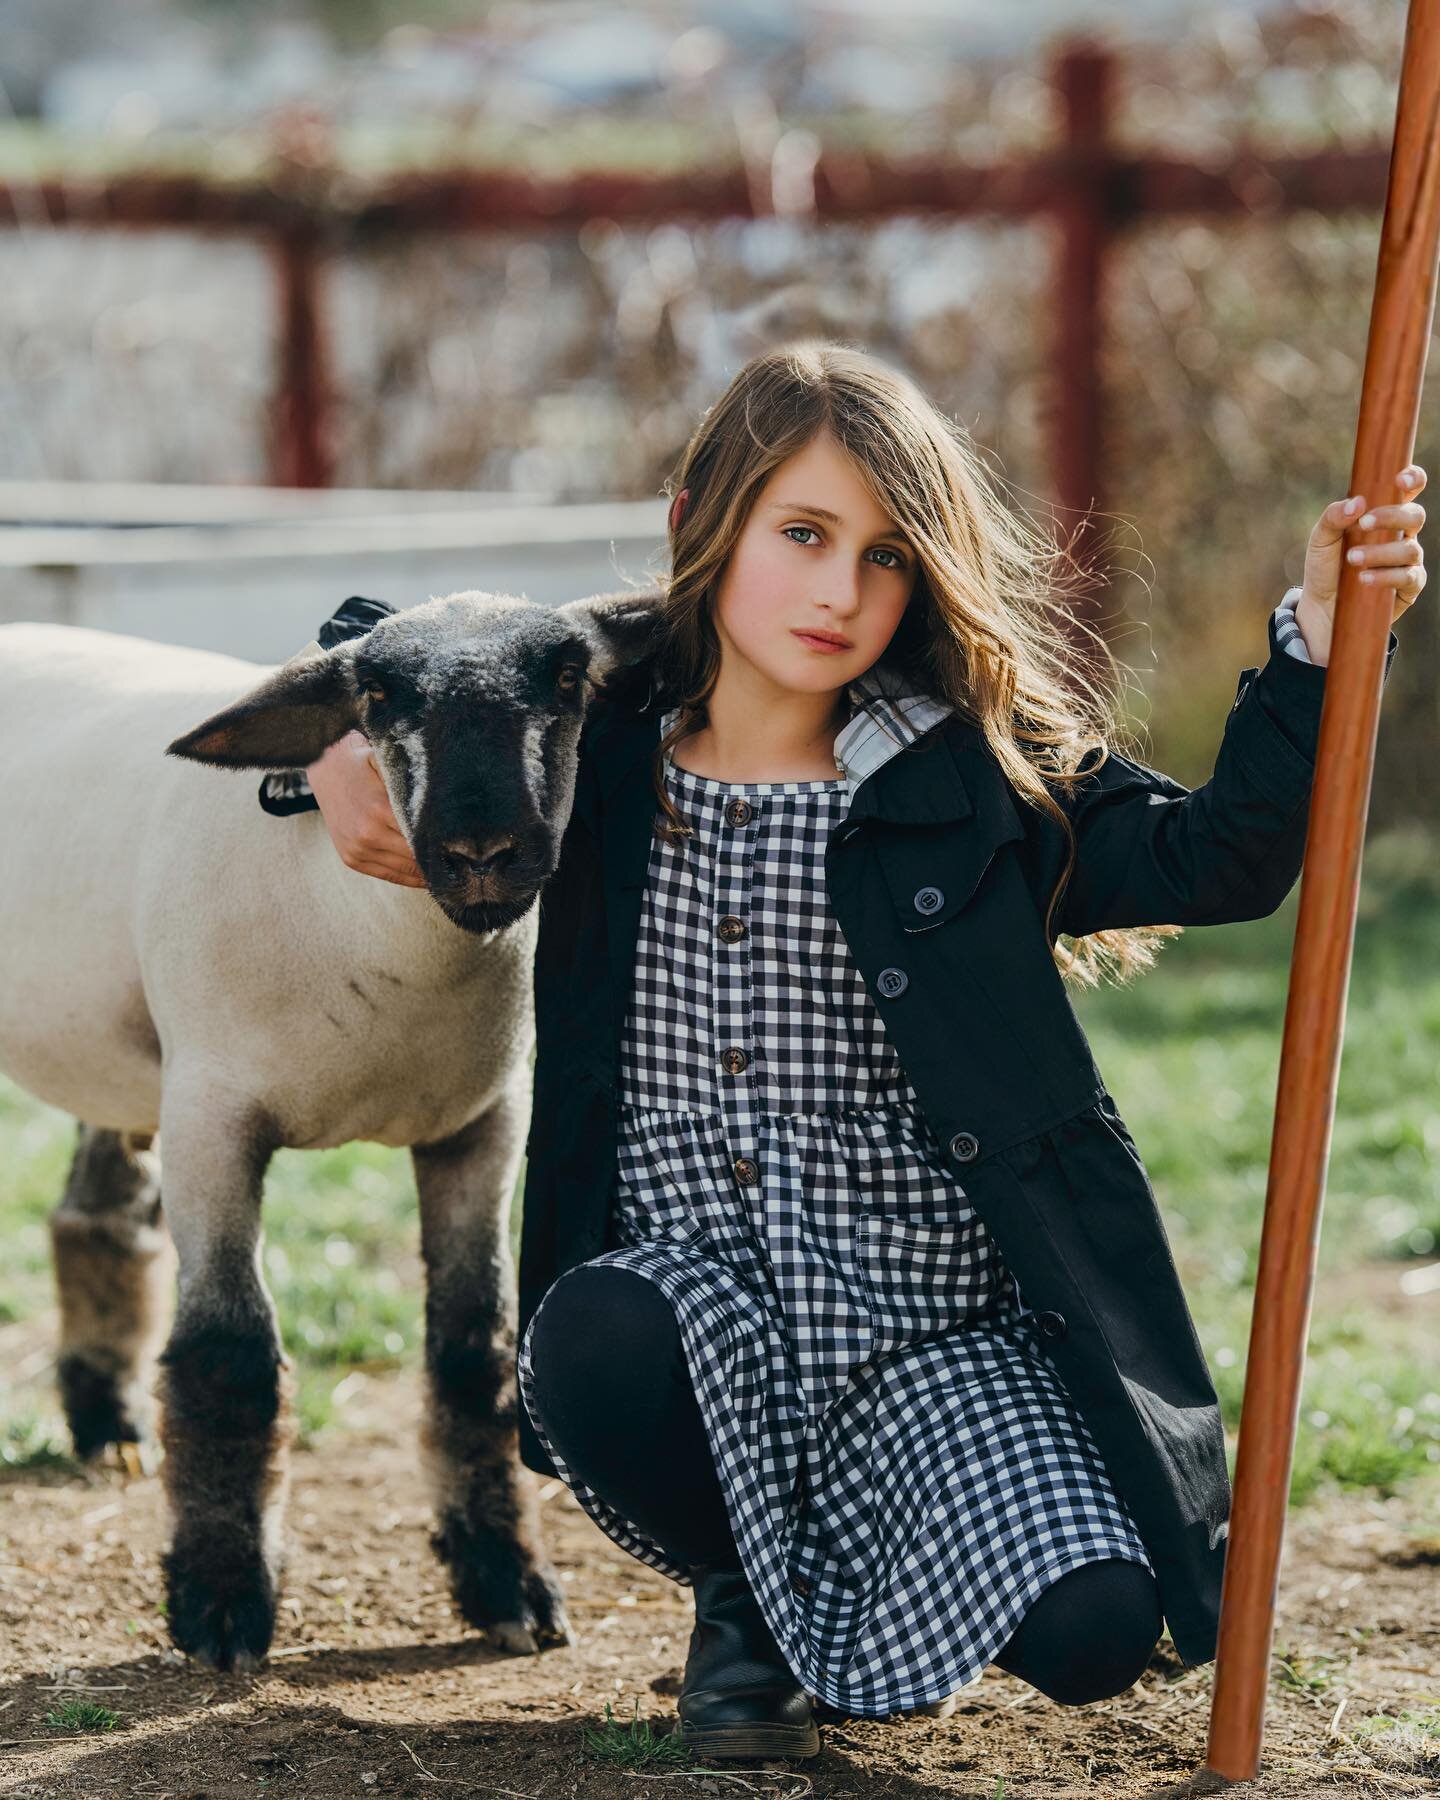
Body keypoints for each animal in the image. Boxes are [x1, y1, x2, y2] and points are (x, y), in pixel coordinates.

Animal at [0, 586, 662, 1670]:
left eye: (569, 677)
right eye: (380, 693)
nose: (484, 854)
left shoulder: (481, 1126)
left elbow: (471, 1351)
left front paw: (505, 1582)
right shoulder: (213, 1117)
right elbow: (229, 1351)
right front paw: (224, 1603)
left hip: (122, 1051)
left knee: (95, 1215)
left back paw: (110, 1429)